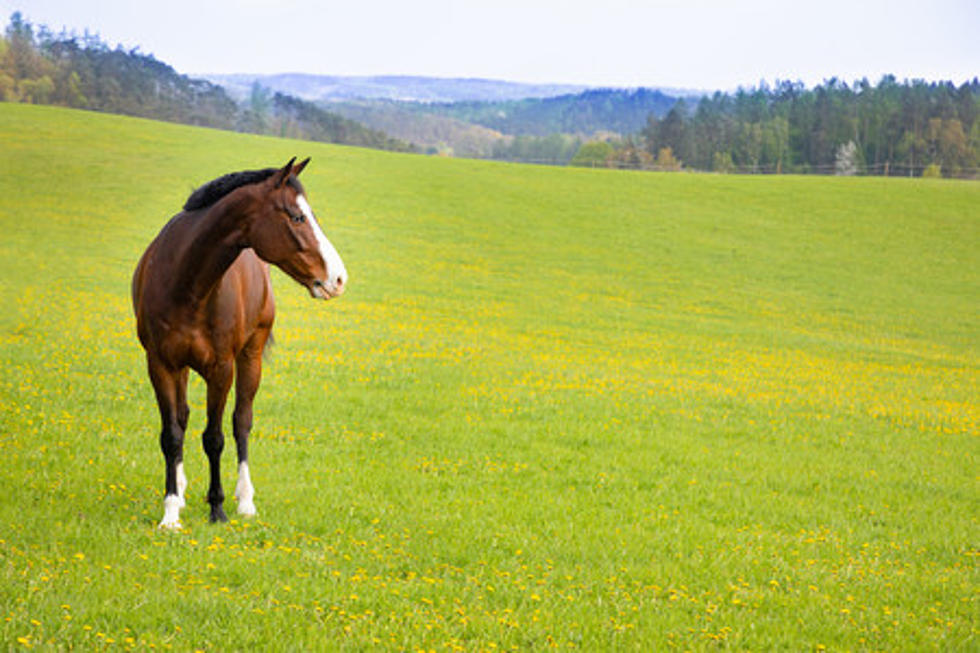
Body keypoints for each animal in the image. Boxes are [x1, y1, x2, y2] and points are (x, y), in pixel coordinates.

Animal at [130, 159, 344, 528]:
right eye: (297, 217)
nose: (339, 277)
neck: (186, 283)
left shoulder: (221, 369)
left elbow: (215, 437)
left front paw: (217, 508)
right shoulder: (160, 364)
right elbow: (171, 435)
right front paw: (170, 511)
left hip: (250, 358)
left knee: (241, 422)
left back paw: (245, 501)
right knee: (183, 418)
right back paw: (183, 492)